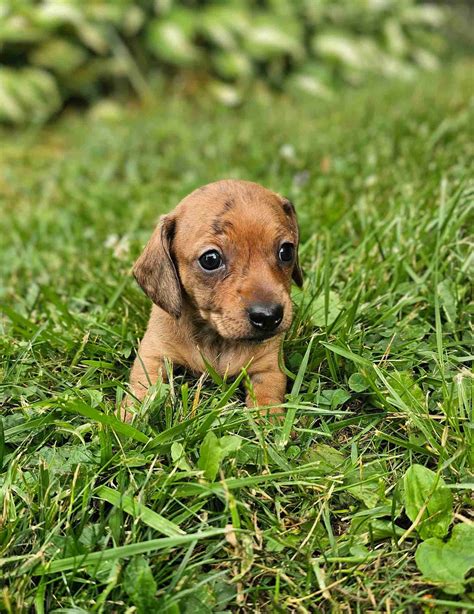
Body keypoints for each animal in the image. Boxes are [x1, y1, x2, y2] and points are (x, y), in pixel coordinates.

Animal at [124, 178, 302, 422]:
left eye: (286, 251)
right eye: (210, 259)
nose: (269, 317)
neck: (215, 338)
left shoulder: (268, 367)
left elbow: (268, 397)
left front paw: (270, 421)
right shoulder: (154, 354)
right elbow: (144, 387)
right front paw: (129, 417)